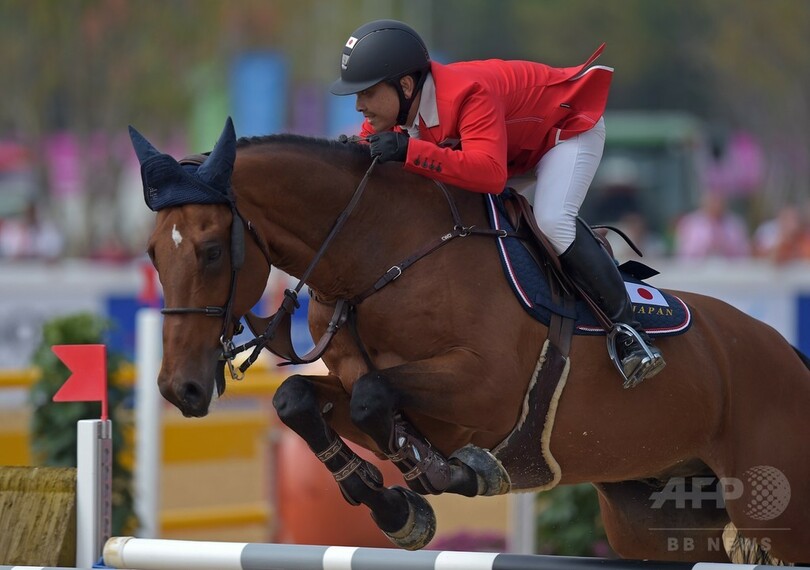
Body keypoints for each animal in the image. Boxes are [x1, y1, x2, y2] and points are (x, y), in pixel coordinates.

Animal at [130, 118, 810, 564]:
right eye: (152, 253)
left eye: (212, 251)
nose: (179, 388)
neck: (377, 258)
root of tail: (789, 356)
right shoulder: (372, 388)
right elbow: (298, 398)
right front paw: (397, 507)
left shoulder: (485, 390)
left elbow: (378, 400)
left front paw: (442, 478)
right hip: (653, 518)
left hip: (777, 507)